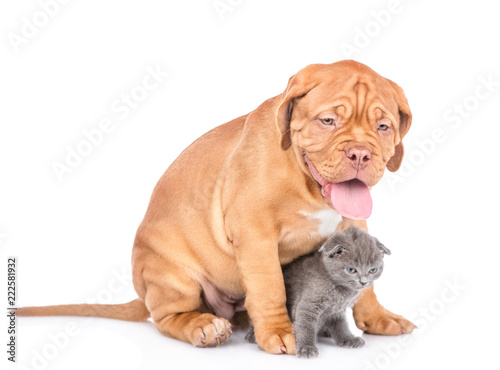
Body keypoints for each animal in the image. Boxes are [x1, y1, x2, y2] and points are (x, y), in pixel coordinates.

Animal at [246, 225, 390, 358]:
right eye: (351, 270)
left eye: (373, 270)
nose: (364, 282)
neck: (339, 288)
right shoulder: (308, 306)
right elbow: (306, 326)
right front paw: (306, 348)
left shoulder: (336, 311)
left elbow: (341, 325)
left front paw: (348, 339)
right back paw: (252, 335)